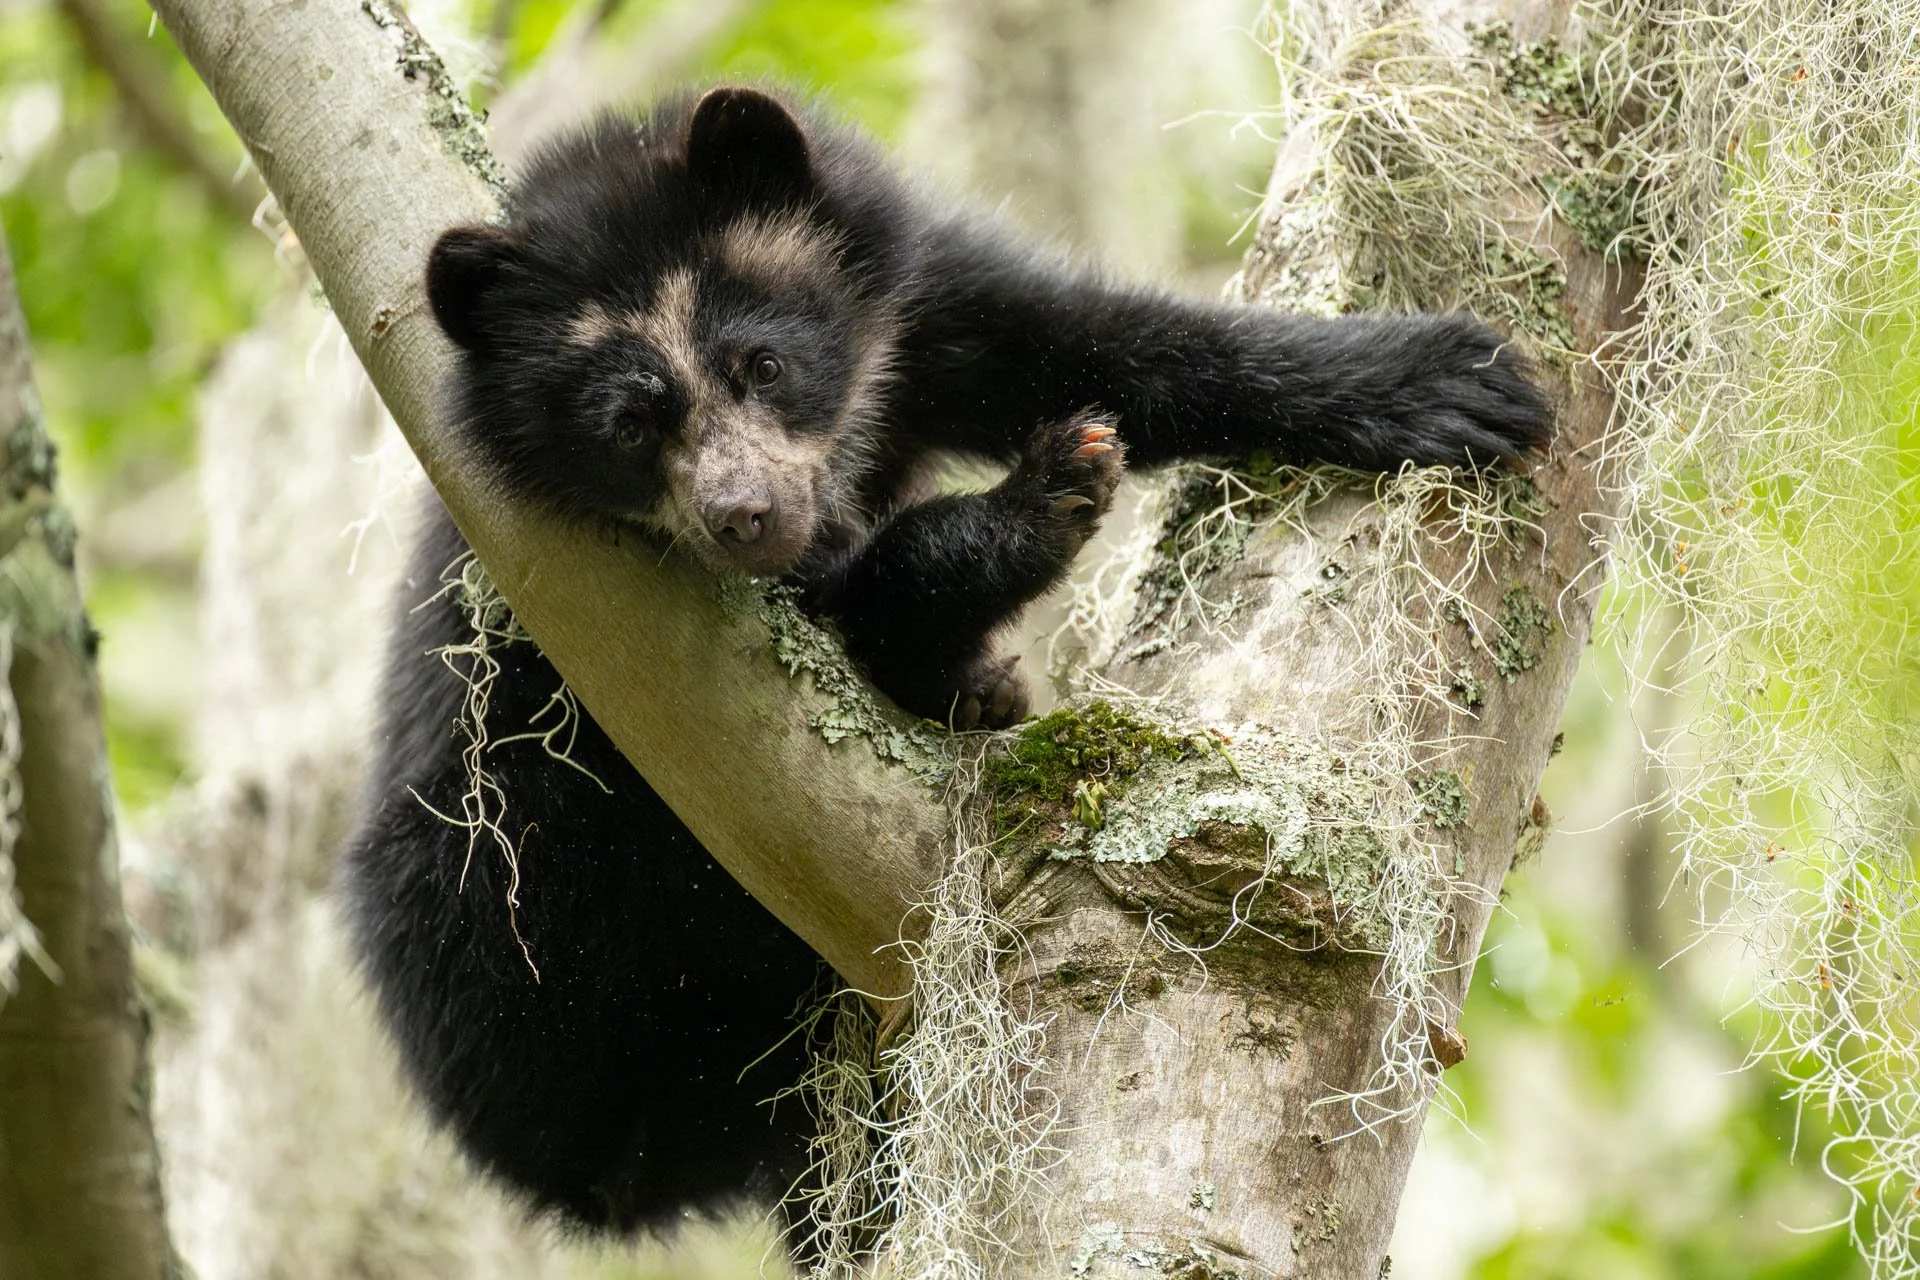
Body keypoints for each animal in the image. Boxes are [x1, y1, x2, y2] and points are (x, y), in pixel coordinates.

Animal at [339, 85, 1549, 1247]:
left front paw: (1452, 378)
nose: (744, 515)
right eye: (632, 424)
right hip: (510, 905)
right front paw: (1036, 504)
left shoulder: (924, 292)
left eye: (762, 364)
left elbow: (1105, 344)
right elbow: (856, 592)